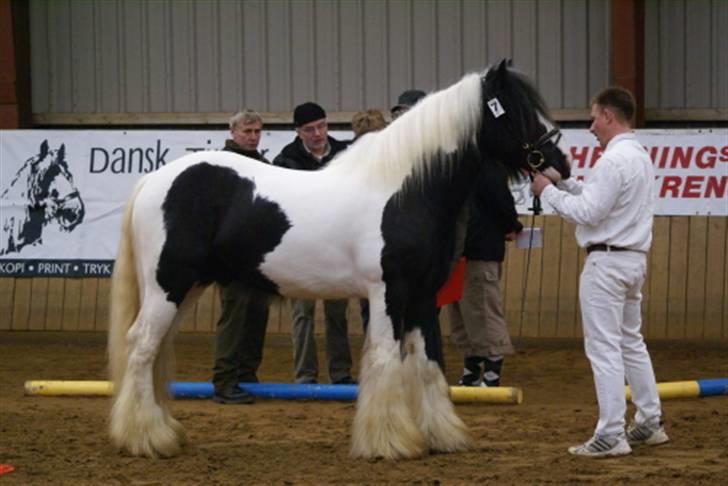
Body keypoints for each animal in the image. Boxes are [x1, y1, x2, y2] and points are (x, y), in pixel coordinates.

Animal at [108, 60, 572, 460]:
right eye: (517, 111)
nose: (560, 165)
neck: (403, 190)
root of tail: (154, 179)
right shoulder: (388, 292)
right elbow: (386, 357)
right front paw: (389, 442)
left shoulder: (423, 296)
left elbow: (428, 362)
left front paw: (442, 435)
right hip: (168, 286)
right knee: (142, 347)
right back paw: (145, 439)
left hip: (186, 288)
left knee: (155, 351)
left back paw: (162, 431)